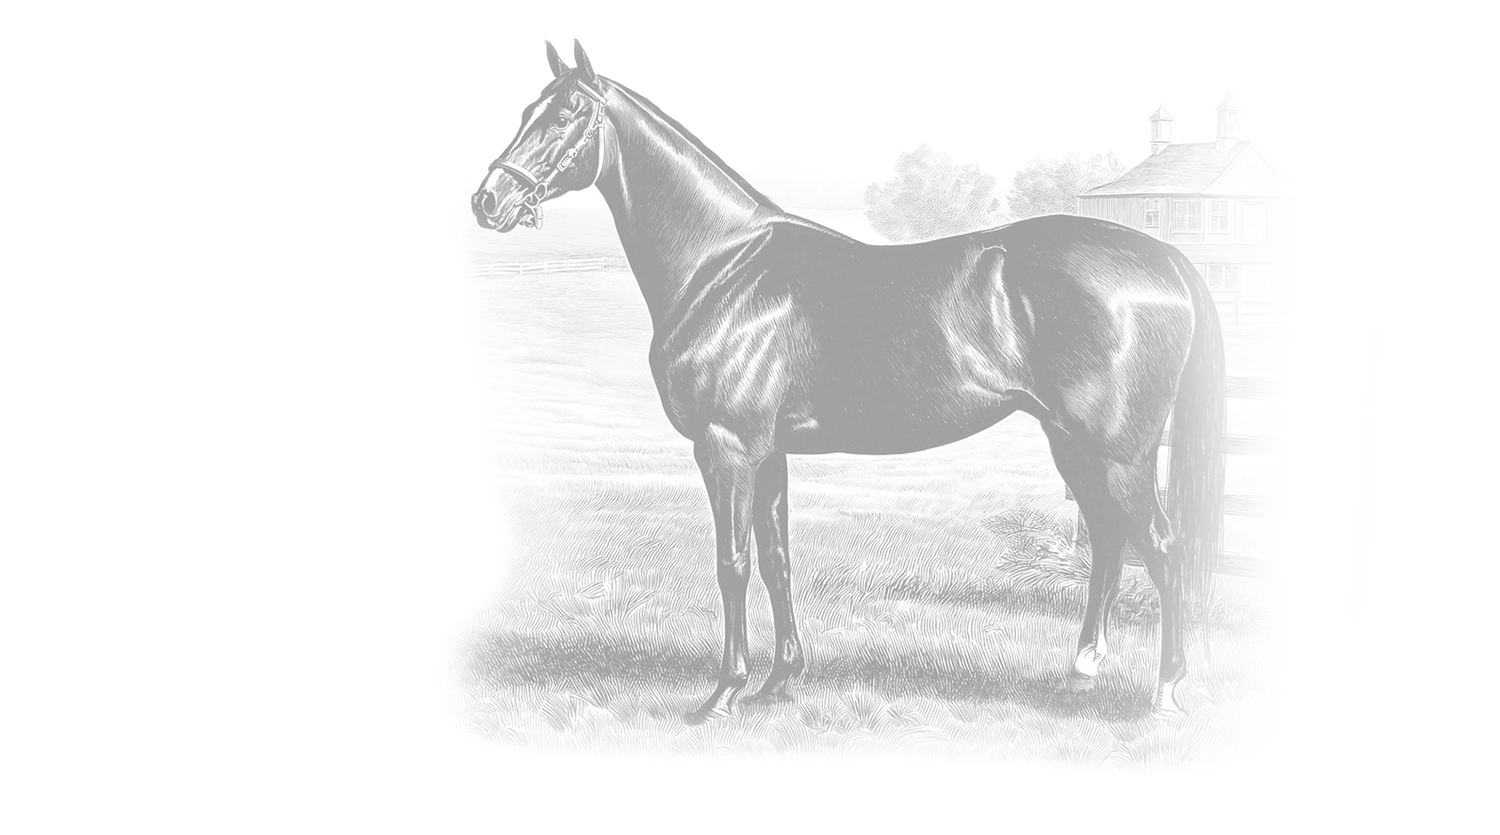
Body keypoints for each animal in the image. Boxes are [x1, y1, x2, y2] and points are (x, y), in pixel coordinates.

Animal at [472, 40, 1227, 724]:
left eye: (566, 113)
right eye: (525, 110)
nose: (488, 200)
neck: (725, 266)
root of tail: (1162, 258)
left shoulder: (726, 446)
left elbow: (732, 561)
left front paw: (722, 694)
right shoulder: (769, 452)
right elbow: (775, 557)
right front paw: (779, 680)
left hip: (1119, 451)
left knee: (1161, 547)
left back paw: (1164, 693)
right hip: (1072, 441)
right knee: (1107, 539)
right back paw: (1081, 672)